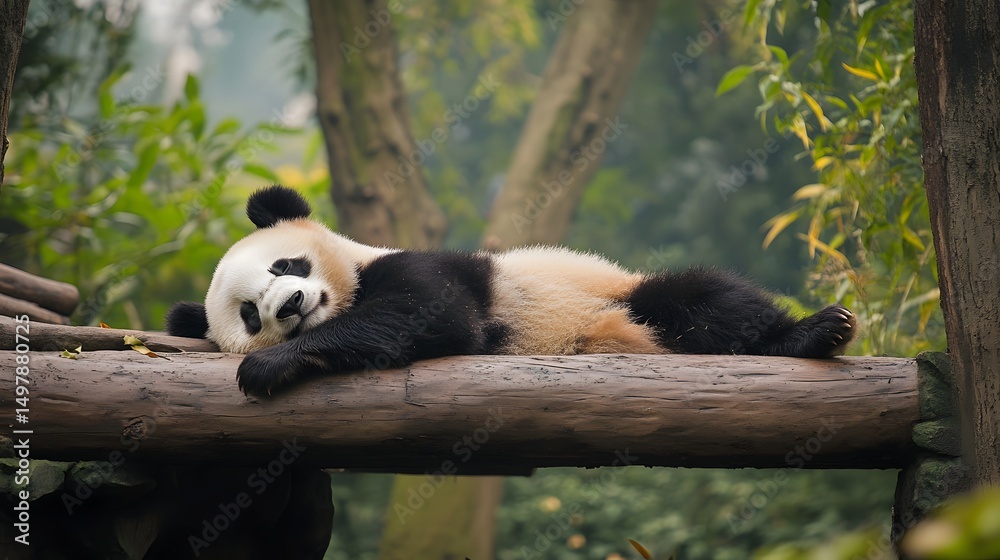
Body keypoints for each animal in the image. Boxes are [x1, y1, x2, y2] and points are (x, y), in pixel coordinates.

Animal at [166, 185, 857, 397]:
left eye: (286, 264)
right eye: (249, 315)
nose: (289, 306)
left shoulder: (416, 266)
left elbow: (429, 313)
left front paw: (268, 368)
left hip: (624, 293)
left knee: (705, 297)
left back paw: (814, 333)